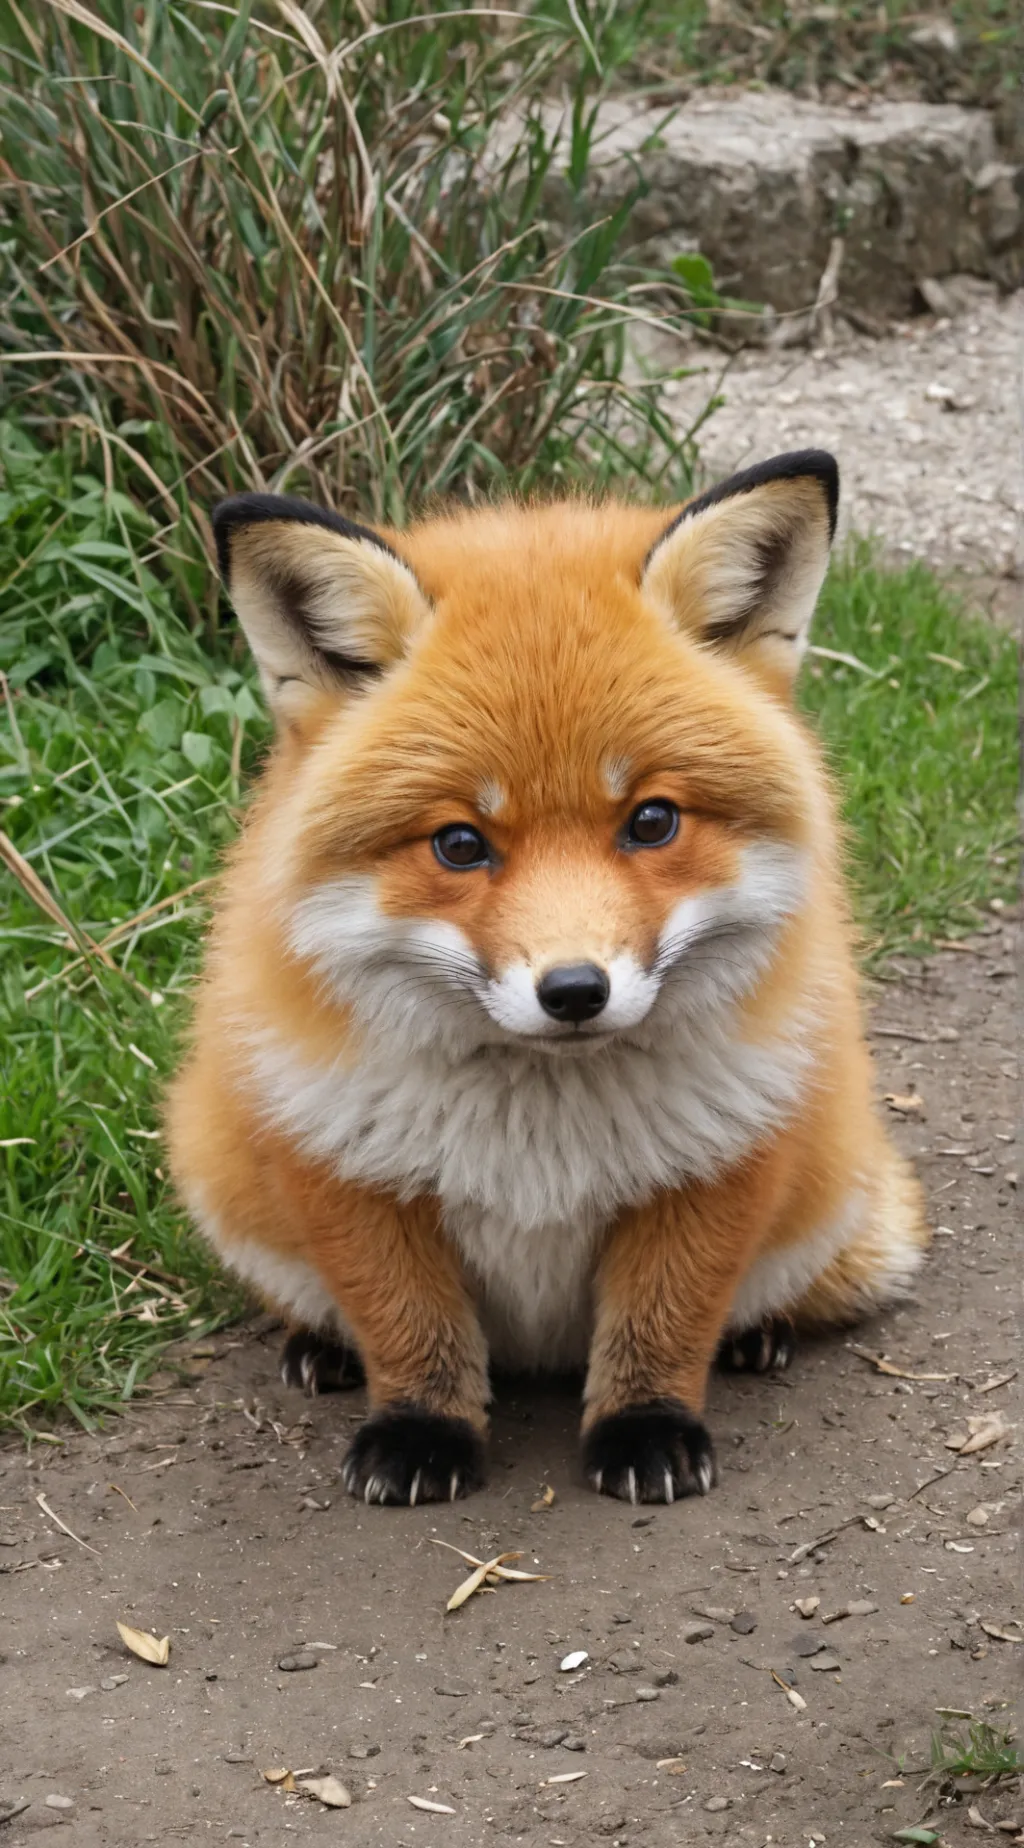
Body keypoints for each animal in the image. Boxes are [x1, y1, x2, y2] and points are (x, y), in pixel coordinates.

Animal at [166, 449, 928, 1507]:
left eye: (652, 821)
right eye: (459, 844)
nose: (574, 991)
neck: (539, 1138)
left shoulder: (722, 1159)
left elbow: (666, 1319)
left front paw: (646, 1428)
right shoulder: (341, 1166)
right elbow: (407, 1325)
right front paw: (421, 1430)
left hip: (837, 1209)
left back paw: (759, 1334)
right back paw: (321, 1344)